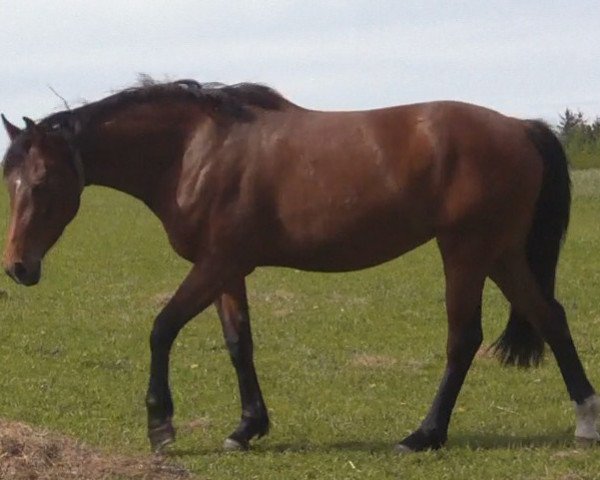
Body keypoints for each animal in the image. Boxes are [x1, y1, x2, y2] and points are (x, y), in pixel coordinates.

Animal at [2, 79, 596, 454]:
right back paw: (586, 419)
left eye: (42, 184)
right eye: (11, 182)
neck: (195, 151)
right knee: (550, 317)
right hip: (502, 253)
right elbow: (239, 343)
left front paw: (161, 424)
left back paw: (424, 435)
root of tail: (520, 126)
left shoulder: (214, 264)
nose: (17, 268)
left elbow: (162, 328)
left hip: (466, 250)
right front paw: (247, 427)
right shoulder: (228, 269)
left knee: (463, 337)